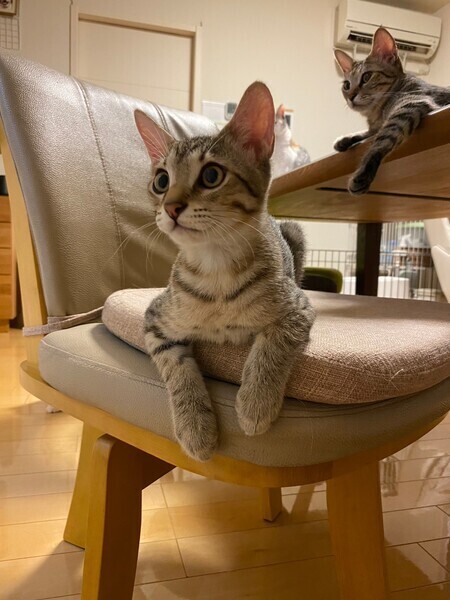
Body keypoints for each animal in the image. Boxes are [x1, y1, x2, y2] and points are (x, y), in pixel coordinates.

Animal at [134, 82, 315, 461]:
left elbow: (274, 342)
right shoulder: (154, 318)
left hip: (295, 234)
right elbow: (176, 366)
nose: (171, 207)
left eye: (211, 175)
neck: (215, 269)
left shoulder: (297, 306)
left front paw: (255, 402)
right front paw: (195, 425)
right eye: (161, 180)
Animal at [334, 26, 450, 195]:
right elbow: (370, 132)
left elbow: (381, 140)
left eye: (367, 77)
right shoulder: (377, 124)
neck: (377, 113)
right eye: (347, 85)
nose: (350, 97)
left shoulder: (409, 105)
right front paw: (345, 139)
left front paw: (363, 173)